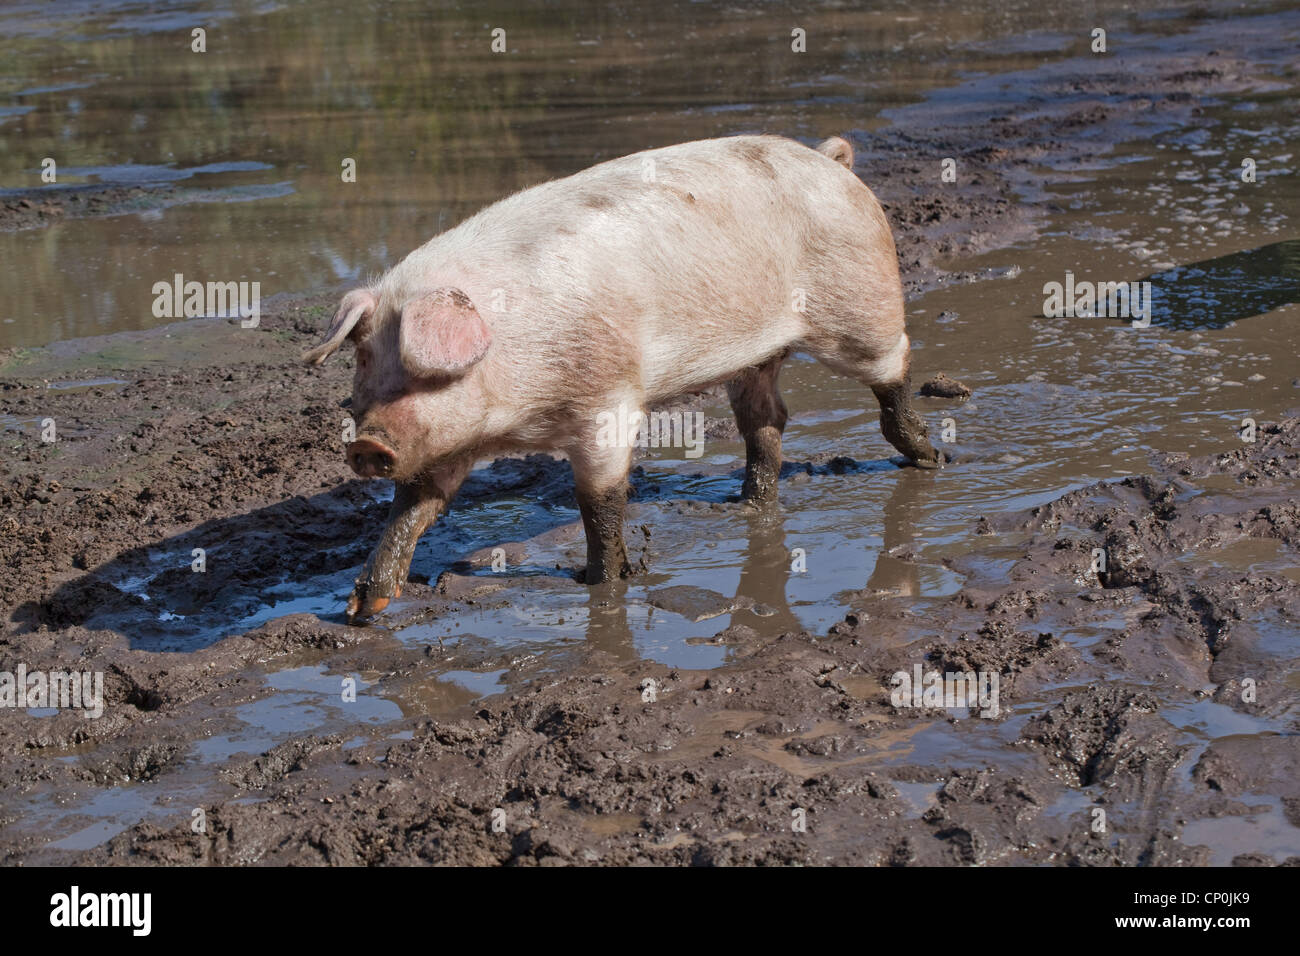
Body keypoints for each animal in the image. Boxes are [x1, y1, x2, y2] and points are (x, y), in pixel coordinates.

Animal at [300, 136, 941, 629]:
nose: (367, 443)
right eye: (364, 362)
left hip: (860, 305)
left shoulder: (607, 400)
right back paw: (746, 503)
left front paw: (599, 581)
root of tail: (832, 160)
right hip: (756, 358)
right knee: (766, 420)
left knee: (894, 366)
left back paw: (931, 457)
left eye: (420, 372)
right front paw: (361, 611)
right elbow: (413, 508)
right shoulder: (448, 443)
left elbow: (599, 501)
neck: (515, 418)